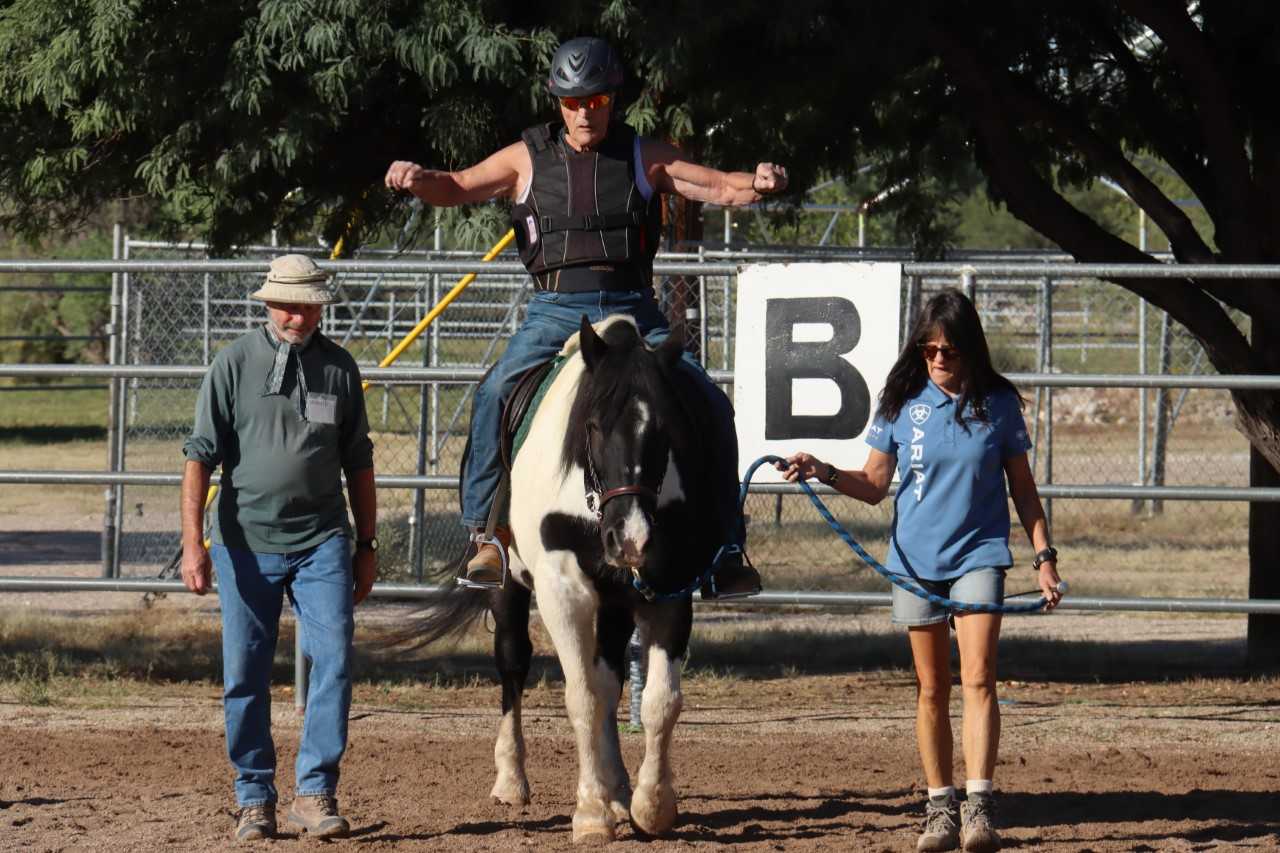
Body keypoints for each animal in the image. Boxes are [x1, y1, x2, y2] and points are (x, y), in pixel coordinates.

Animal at [417, 315, 732, 840]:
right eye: (593, 425)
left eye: (666, 429)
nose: (631, 538)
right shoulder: (562, 590)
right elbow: (580, 696)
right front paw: (590, 814)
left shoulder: (670, 589)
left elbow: (658, 701)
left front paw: (651, 806)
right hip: (509, 588)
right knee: (514, 663)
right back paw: (512, 780)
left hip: (617, 601)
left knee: (609, 682)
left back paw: (618, 789)